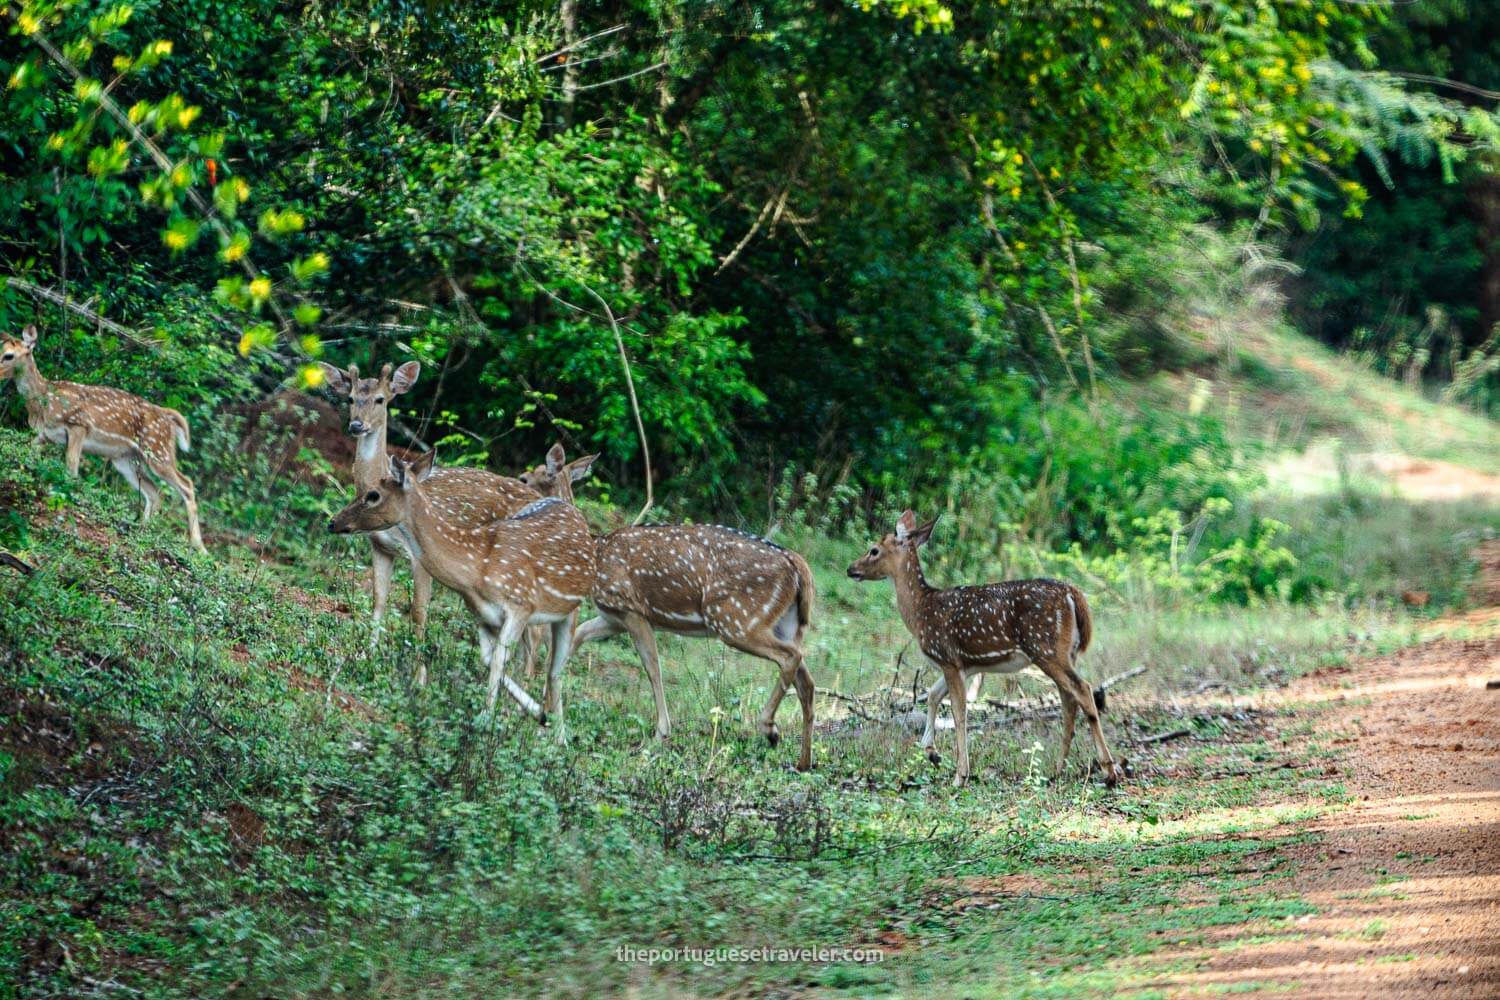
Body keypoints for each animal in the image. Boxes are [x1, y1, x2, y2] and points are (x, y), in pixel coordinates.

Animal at [0, 325, 205, 551]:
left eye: (9, 355)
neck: (43, 402)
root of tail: (168, 417)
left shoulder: (79, 425)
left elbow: (72, 465)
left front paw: (67, 496)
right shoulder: (44, 435)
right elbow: (29, 450)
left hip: (157, 450)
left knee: (186, 484)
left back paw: (199, 547)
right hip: (126, 459)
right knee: (154, 491)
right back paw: (143, 530)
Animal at [319, 359, 543, 650]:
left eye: (381, 399)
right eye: (350, 398)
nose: (357, 425)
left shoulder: (419, 555)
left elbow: (418, 611)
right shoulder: (380, 547)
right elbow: (378, 601)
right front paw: (368, 652)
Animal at [327, 446, 591, 728]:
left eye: (373, 495)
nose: (333, 522)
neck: (476, 568)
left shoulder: (521, 606)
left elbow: (497, 659)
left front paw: (487, 719)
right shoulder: (484, 615)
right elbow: (488, 658)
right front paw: (531, 711)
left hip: (570, 610)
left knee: (554, 668)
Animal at [522, 440, 816, 773]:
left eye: (529, 477)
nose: (517, 480)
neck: (596, 554)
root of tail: (797, 565)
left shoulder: (631, 609)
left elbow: (652, 667)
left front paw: (661, 734)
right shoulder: (612, 616)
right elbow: (577, 638)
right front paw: (544, 708)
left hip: (735, 619)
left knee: (790, 657)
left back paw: (769, 729)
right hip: (783, 622)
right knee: (806, 679)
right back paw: (803, 761)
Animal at [852, 512, 1122, 785]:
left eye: (874, 550)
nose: (851, 568)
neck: (920, 611)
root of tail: (1073, 594)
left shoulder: (947, 656)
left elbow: (959, 712)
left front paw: (960, 775)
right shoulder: (964, 665)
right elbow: (933, 695)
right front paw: (931, 752)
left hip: (1046, 648)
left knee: (1083, 690)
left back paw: (1109, 769)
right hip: (1066, 653)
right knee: (1069, 699)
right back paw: (1058, 769)